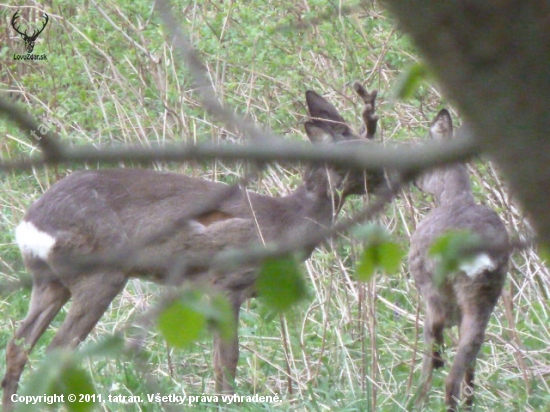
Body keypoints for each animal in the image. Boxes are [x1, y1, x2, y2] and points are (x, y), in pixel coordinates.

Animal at [1, 81, 388, 408]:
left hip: (50, 281)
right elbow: (228, 360)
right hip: (100, 273)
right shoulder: (227, 281)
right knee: (57, 349)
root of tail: (30, 225)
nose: (389, 181)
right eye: (368, 161)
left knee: (18, 345)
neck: (286, 221)